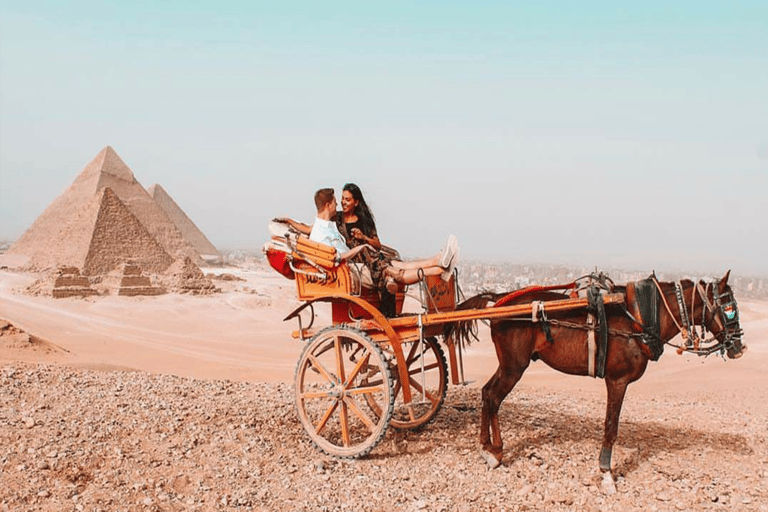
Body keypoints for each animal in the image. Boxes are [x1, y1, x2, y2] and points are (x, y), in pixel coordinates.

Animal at [448, 272, 748, 492]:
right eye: (729, 309)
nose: (739, 347)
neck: (640, 316)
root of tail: (499, 300)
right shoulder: (617, 380)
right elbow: (611, 426)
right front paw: (606, 473)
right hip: (514, 366)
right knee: (493, 396)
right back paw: (492, 452)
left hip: (509, 365)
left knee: (487, 394)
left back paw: (490, 449)